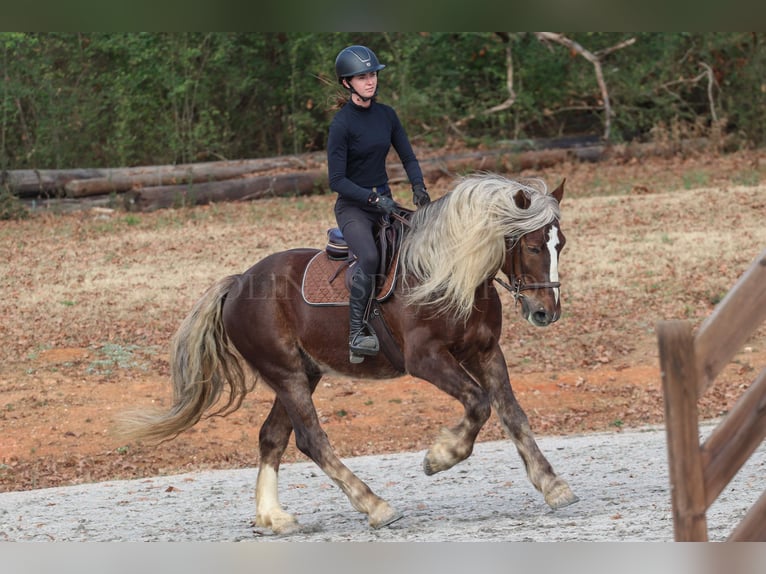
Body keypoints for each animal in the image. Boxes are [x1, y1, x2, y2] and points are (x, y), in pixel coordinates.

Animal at [121, 174, 576, 536]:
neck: (449, 271)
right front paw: (439, 457)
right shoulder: (426, 359)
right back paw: (375, 506)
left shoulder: (485, 351)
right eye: (533, 246)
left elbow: (513, 413)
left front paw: (553, 486)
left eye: (561, 245)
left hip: (302, 374)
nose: (546, 313)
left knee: (273, 437)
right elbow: (479, 404)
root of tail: (237, 283)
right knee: (311, 439)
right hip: (286, 374)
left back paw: (273, 517)